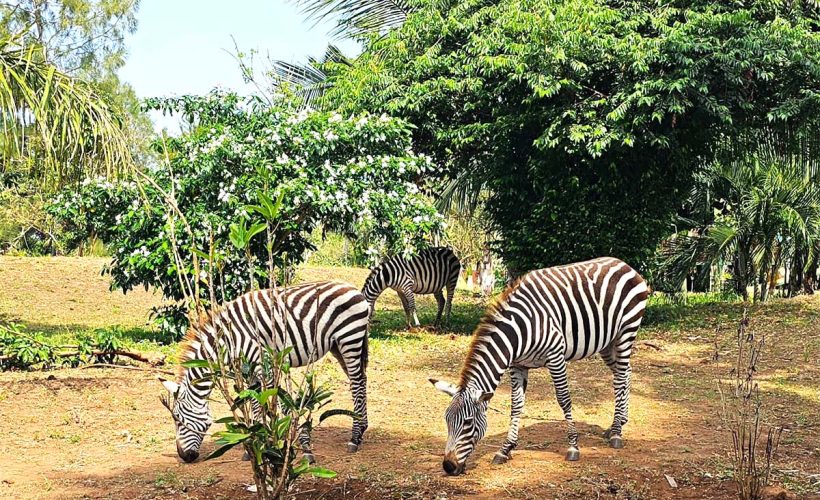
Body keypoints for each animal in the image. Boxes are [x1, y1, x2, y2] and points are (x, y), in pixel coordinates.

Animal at [158, 281, 370, 463]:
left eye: (177, 419)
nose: (184, 457)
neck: (228, 340)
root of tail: (352, 288)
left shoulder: (262, 365)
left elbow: (275, 403)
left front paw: (295, 445)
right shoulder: (250, 369)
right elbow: (257, 404)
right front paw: (257, 443)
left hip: (349, 338)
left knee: (356, 382)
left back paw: (355, 436)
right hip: (337, 345)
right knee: (361, 379)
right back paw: (361, 429)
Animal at [429, 257, 648, 475]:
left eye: (468, 423)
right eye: (446, 420)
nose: (448, 466)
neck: (518, 333)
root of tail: (623, 263)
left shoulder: (556, 357)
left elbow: (564, 400)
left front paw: (573, 447)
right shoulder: (517, 365)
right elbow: (516, 405)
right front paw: (505, 449)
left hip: (625, 333)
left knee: (620, 379)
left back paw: (617, 433)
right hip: (607, 342)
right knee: (626, 373)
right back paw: (618, 423)